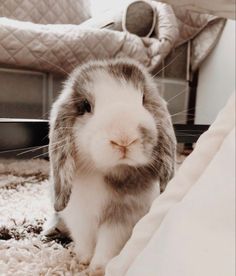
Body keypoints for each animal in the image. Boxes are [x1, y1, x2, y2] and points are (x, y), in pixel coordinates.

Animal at [48, 57, 176, 274]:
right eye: (85, 105)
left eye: (143, 99)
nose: (124, 138)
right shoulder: (78, 214)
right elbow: (84, 240)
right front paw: (81, 261)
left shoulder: (121, 219)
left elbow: (108, 243)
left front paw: (97, 268)